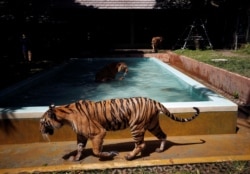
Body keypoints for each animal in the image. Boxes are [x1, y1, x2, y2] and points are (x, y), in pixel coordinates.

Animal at [39, 96, 199, 160]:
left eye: (42, 122)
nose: (40, 131)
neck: (64, 115)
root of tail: (154, 101)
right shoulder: (81, 135)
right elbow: (79, 147)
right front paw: (76, 158)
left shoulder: (98, 132)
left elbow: (96, 151)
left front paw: (109, 155)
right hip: (153, 124)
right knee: (163, 135)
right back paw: (159, 149)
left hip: (136, 126)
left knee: (141, 144)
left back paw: (130, 156)